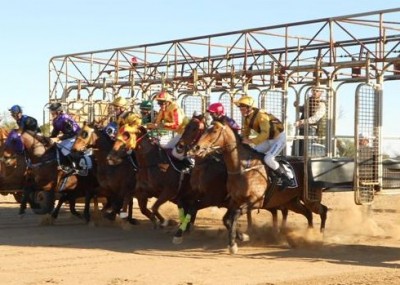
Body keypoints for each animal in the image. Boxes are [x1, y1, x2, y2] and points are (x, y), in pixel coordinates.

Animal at [191, 120, 328, 253]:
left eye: (214, 131)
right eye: (205, 129)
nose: (196, 147)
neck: (242, 167)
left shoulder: (255, 200)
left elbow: (235, 215)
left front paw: (233, 244)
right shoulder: (235, 200)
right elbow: (227, 220)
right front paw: (242, 237)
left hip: (310, 199)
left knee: (323, 210)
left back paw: (319, 236)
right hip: (291, 201)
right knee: (308, 213)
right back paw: (309, 233)